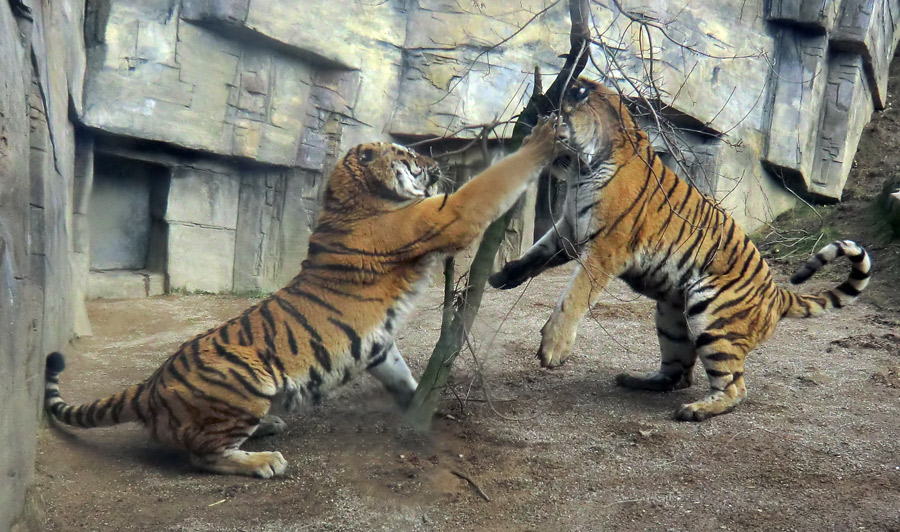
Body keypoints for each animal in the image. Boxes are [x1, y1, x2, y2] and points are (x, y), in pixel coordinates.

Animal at [45, 115, 564, 478]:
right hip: (244, 381)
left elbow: (401, 377)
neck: (352, 198)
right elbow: (496, 179)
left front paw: (421, 408)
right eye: (406, 153)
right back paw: (262, 459)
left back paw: (268, 428)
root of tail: (150, 385)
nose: (436, 165)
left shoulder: (379, 345)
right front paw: (543, 138)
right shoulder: (445, 214)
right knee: (201, 455)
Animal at [488, 78, 868, 420]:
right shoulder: (568, 229)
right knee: (679, 374)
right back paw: (637, 380)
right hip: (671, 317)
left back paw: (696, 410)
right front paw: (502, 277)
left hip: (711, 314)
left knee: (734, 386)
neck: (583, 168)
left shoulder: (604, 248)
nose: (529, 142)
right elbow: (535, 255)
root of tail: (776, 293)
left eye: (548, 121)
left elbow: (574, 296)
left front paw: (553, 348)